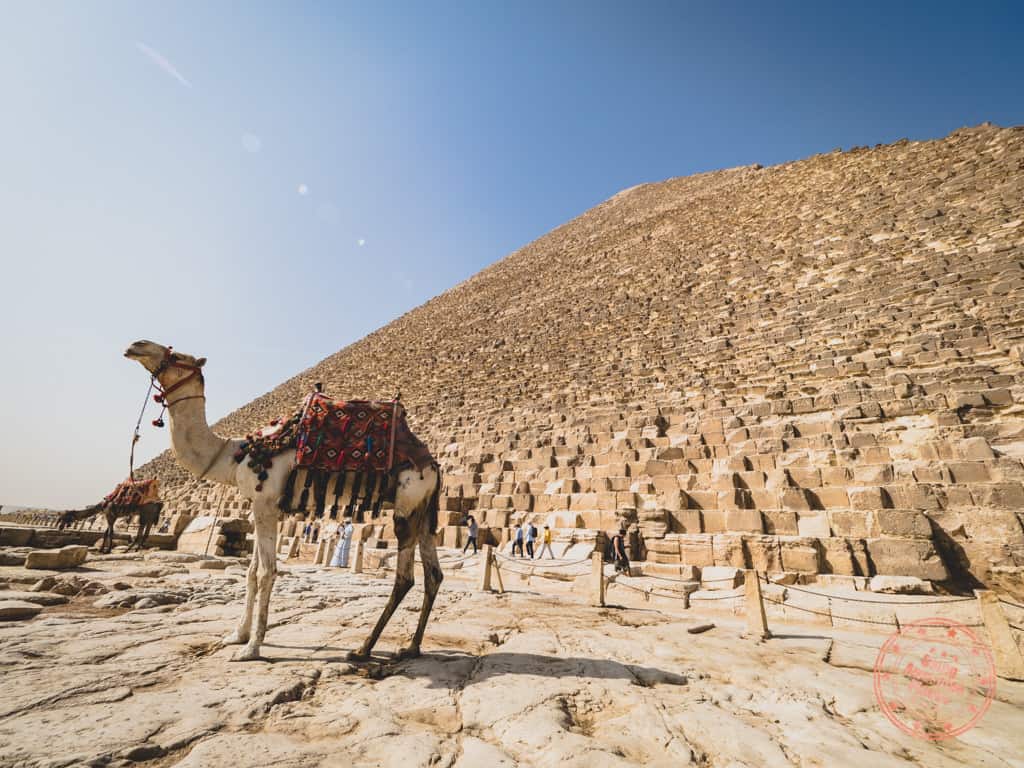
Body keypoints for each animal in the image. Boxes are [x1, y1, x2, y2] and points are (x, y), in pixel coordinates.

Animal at [124, 340, 443, 662]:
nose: (135, 345)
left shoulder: (265, 503)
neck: (235, 454)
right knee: (434, 575)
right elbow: (251, 572)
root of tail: (433, 465)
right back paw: (411, 647)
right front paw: (237, 635)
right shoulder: (263, 508)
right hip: (424, 512)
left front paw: (252, 648)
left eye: (177, 355)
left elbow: (267, 572)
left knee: (405, 578)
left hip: (406, 505)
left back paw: (363, 649)